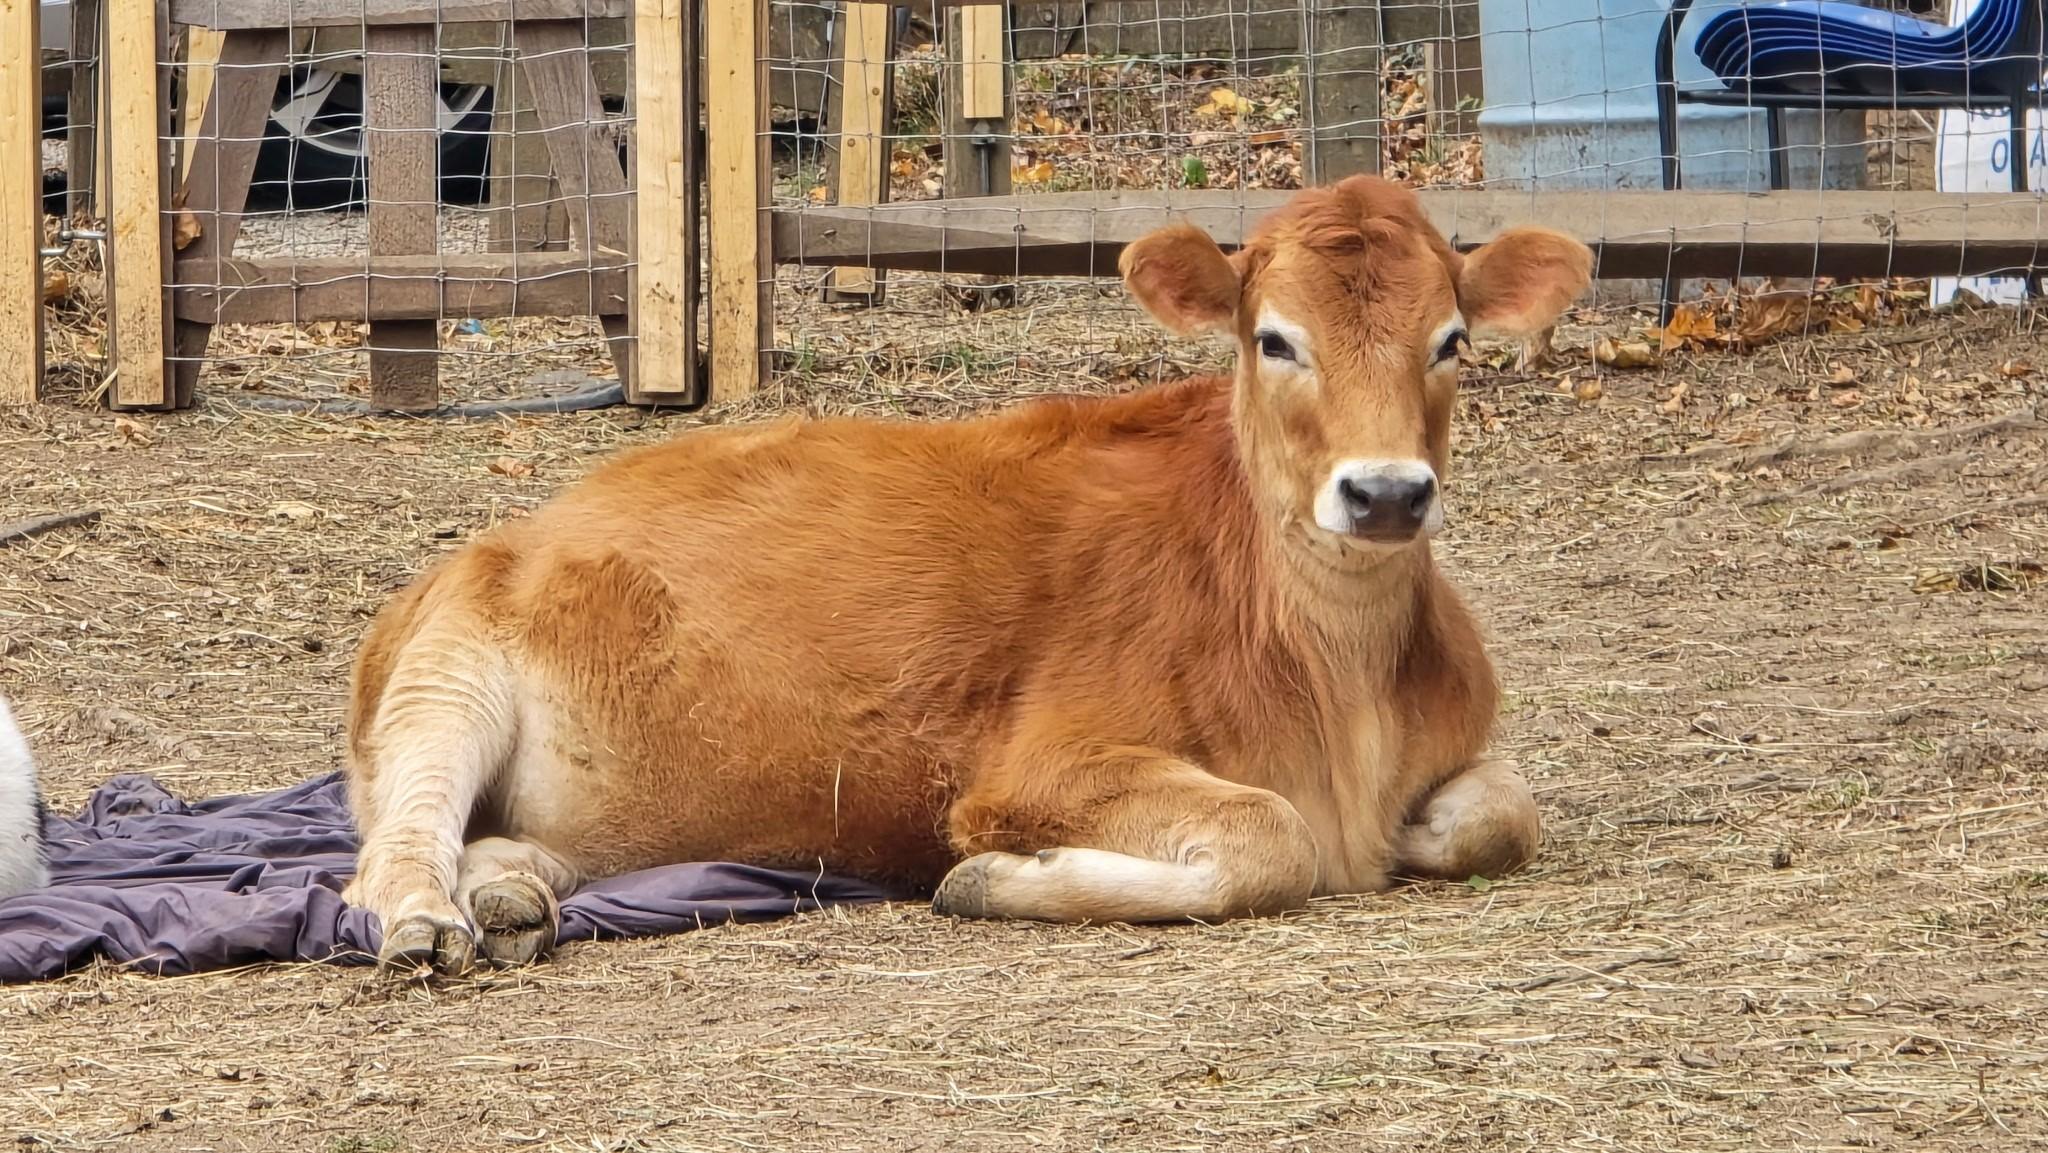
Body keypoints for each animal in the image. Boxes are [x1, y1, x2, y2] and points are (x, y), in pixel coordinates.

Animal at [342, 175, 1594, 975]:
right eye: (1273, 339)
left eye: (1450, 342)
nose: (1383, 493)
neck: (1339, 674)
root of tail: (525, 521)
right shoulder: (1036, 764)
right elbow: (1271, 835)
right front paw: (994, 877)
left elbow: (1503, 811)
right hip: (442, 675)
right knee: (387, 851)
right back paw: (429, 925)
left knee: (506, 845)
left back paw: (509, 896)